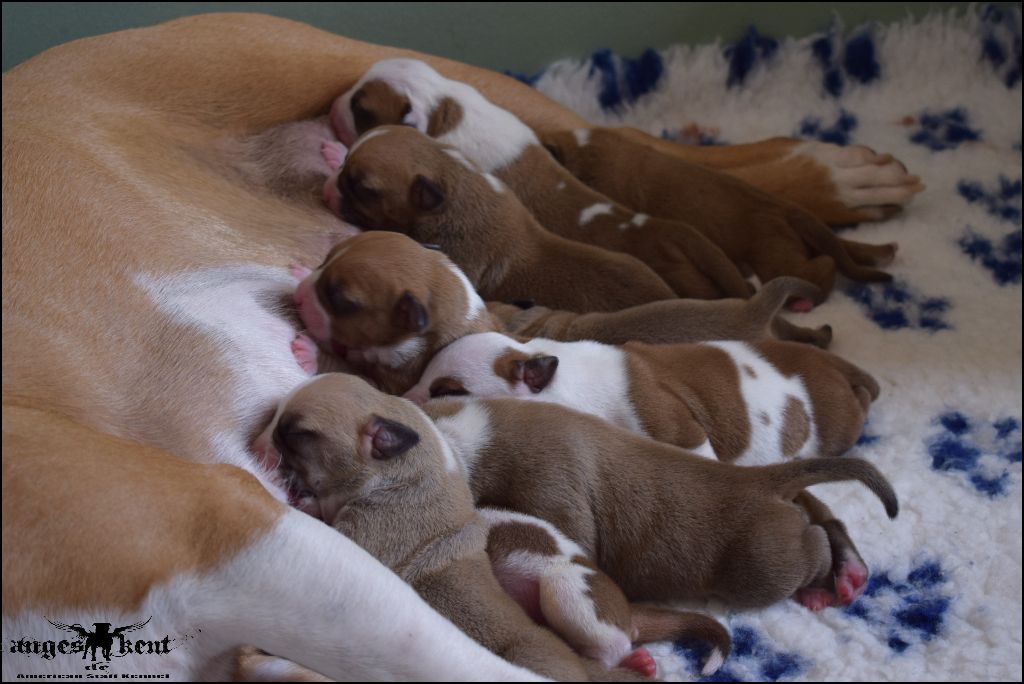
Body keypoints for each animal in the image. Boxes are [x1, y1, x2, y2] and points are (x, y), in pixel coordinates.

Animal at [249, 374, 729, 679]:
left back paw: (631, 661)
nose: (257, 444)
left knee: (611, 648)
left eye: (295, 433)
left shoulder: (370, 532)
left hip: (566, 593)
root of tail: (627, 609)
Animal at [423, 395, 897, 610]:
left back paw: (822, 588)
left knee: (813, 544)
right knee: (827, 519)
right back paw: (850, 572)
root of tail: (760, 479)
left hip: (767, 564)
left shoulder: (553, 493)